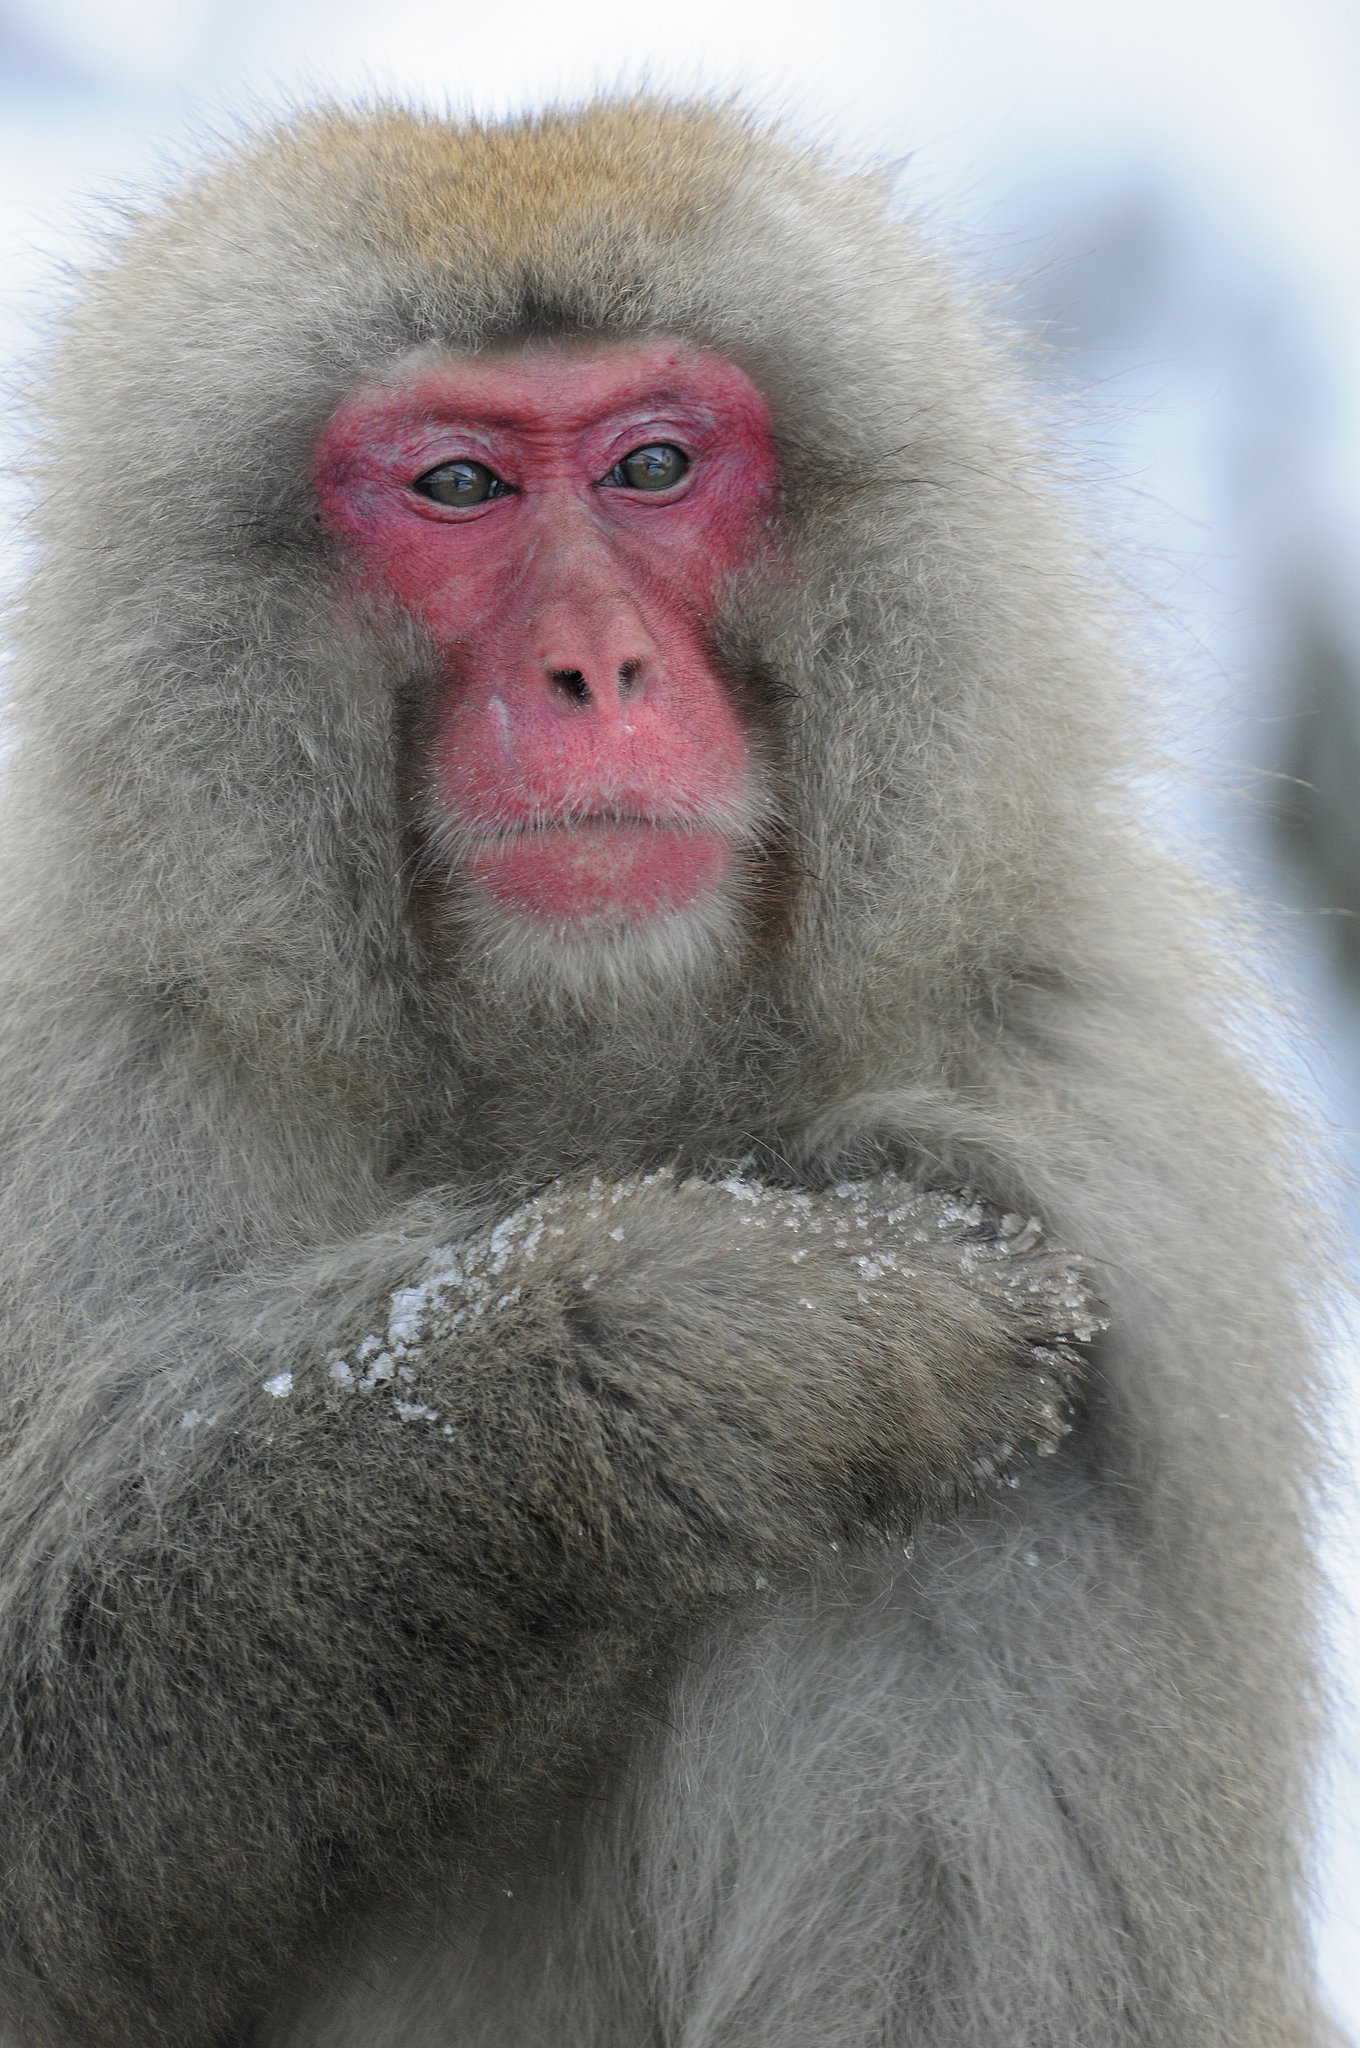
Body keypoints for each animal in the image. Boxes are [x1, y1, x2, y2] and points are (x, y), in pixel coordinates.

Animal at [0, 97, 1334, 2048]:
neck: (593, 1069)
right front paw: (698, 1332)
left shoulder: (1081, 1176)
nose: (596, 666)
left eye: (649, 465)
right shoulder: (84, 1074)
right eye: (460, 489)